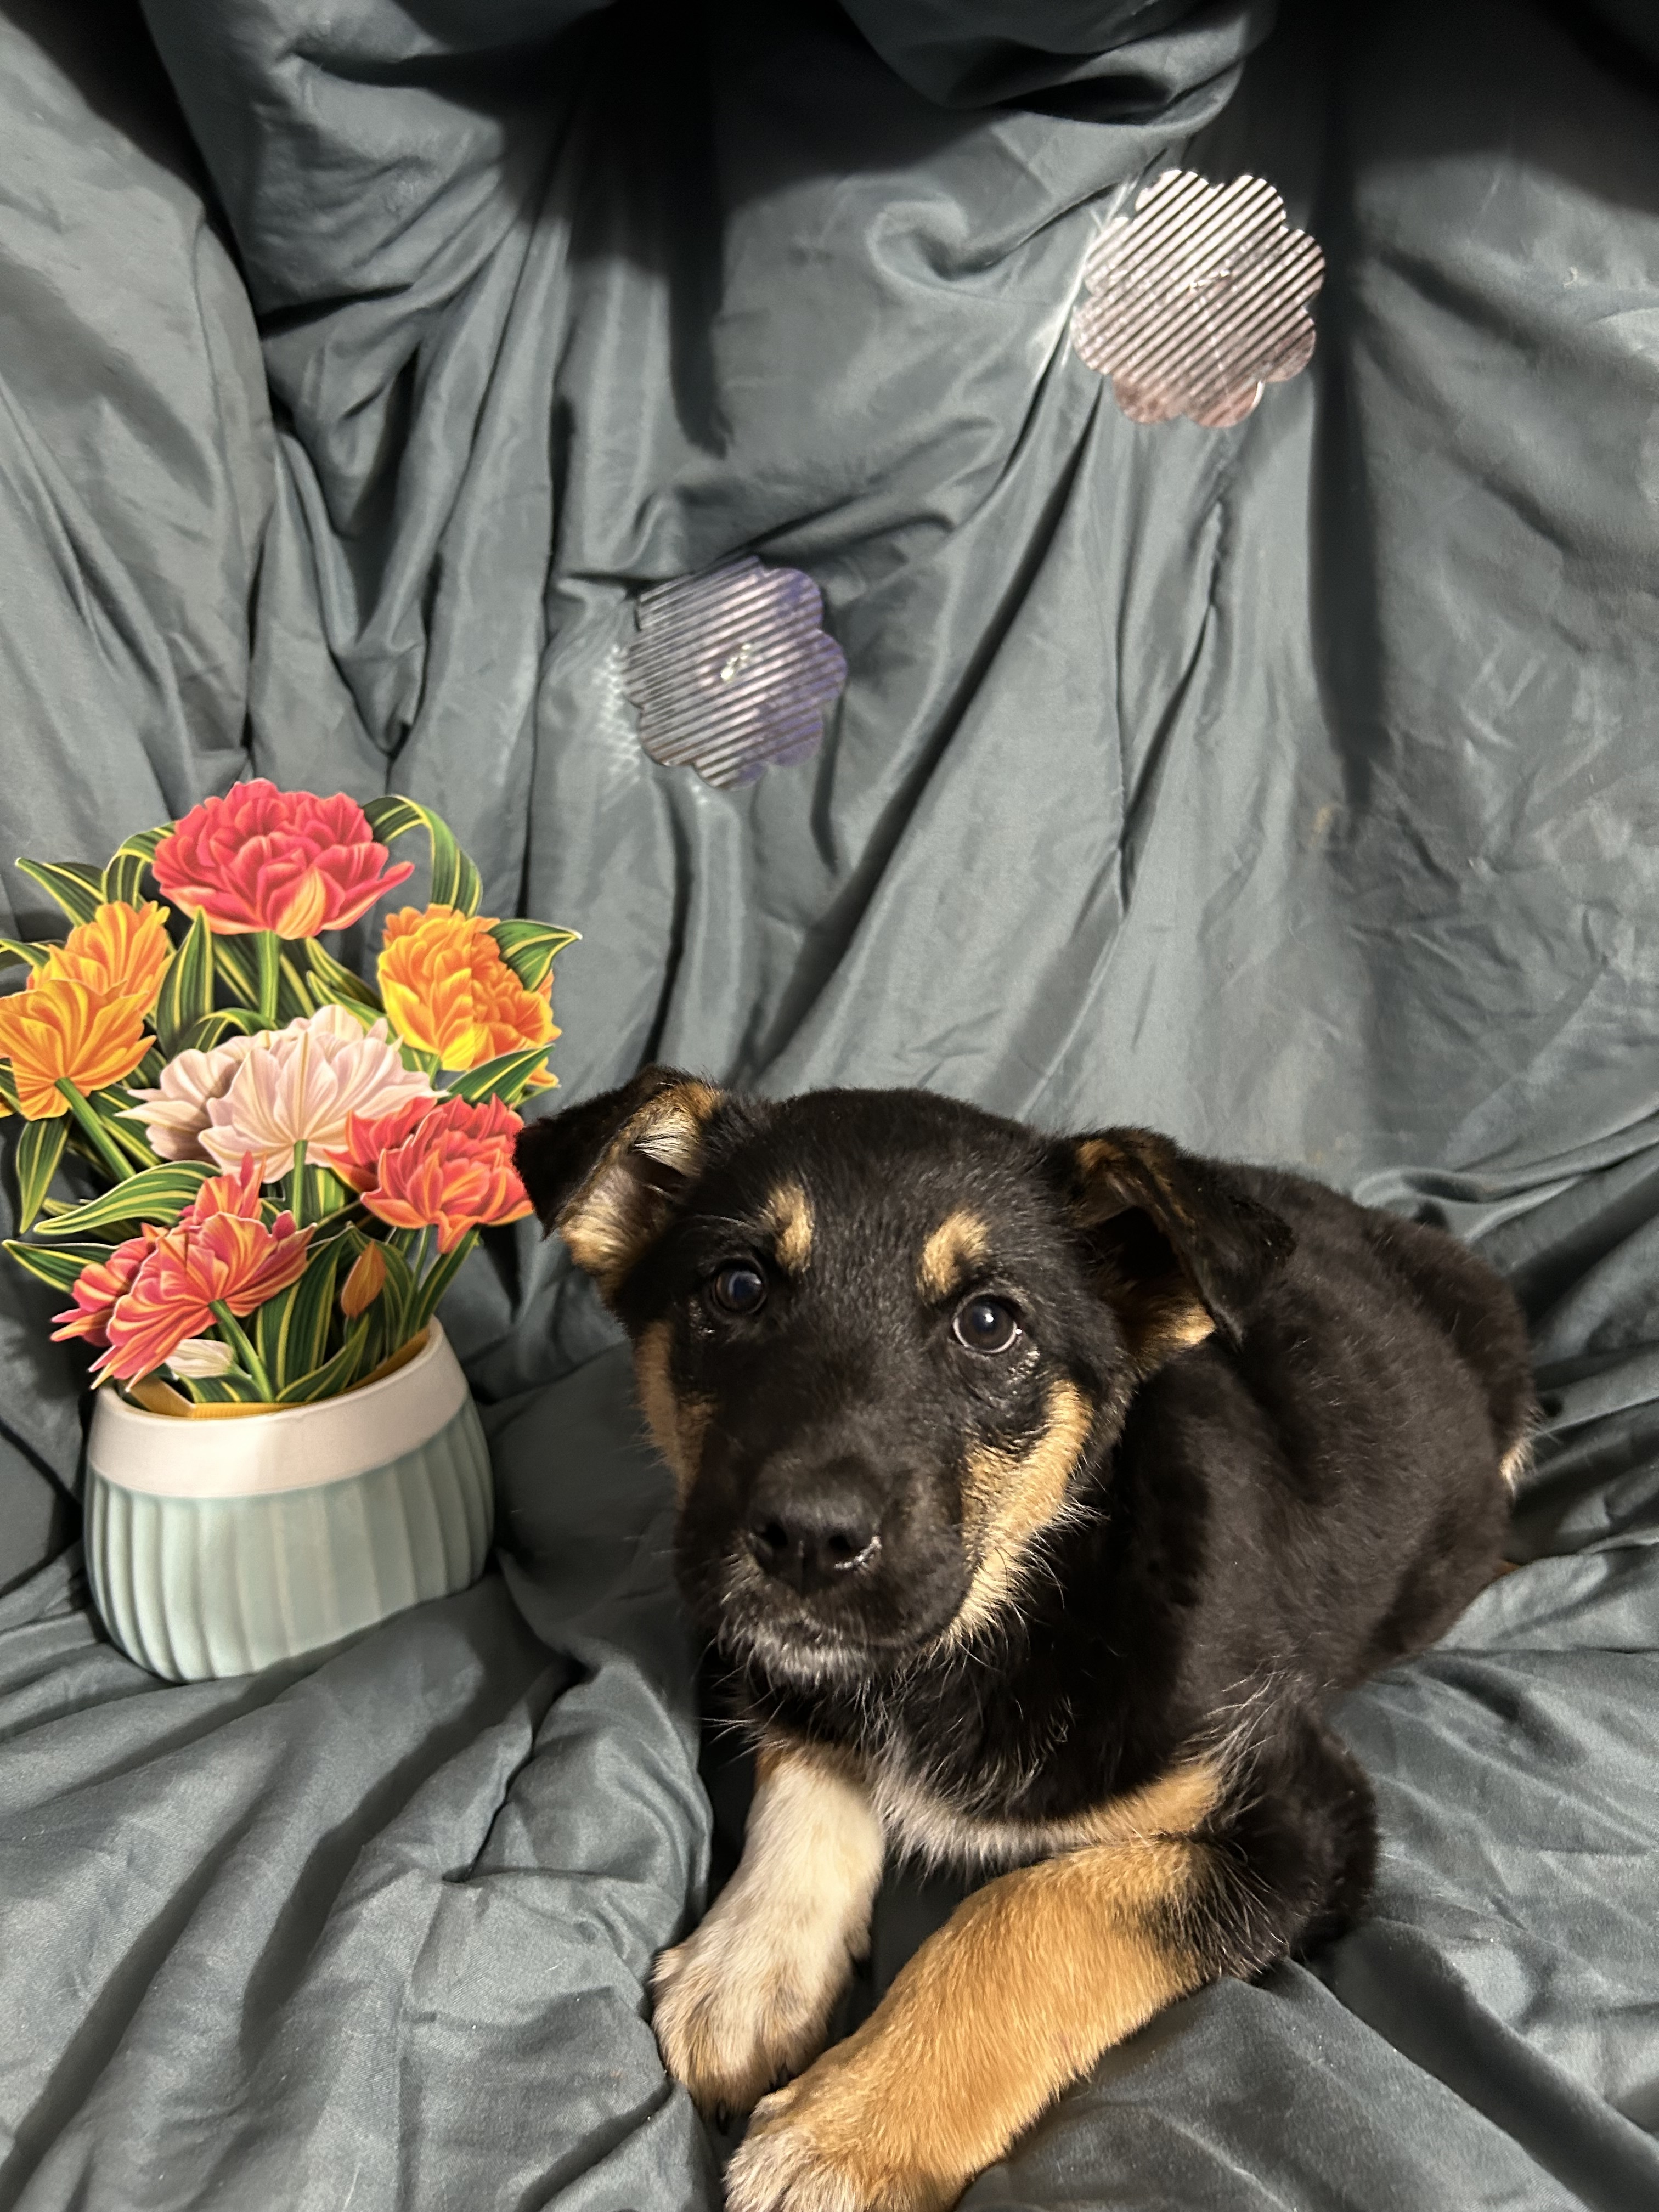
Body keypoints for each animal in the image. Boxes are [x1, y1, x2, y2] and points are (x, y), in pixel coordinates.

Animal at [517, 1070, 1531, 2212]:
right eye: (735, 1288)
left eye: (989, 1323)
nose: (806, 1541)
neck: (998, 1619)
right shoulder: (795, 1671)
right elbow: (807, 1779)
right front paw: (747, 1966)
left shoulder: (1298, 1813)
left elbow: (1035, 1906)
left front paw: (851, 2128)